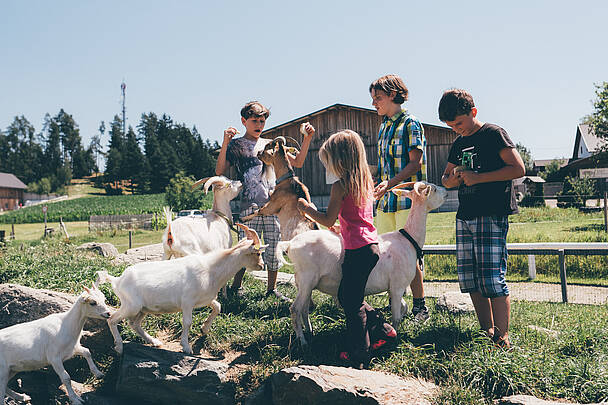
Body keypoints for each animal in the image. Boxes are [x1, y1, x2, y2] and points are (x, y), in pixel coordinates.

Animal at [96, 224, 264, 354]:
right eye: (257, 252)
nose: (262, 266)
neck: (210, 269)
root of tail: (117, 280)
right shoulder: (187, 302)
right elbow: (187, 322)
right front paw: (186, 347)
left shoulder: (205, 299)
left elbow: (218, 306)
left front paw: (204, 329)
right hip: (131, 306)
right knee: (112, 319)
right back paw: (119, 347)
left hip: (142, 309)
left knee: (134, 324)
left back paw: (154, 341)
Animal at [278, 182, 448, 344]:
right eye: (433, 189)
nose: (446, 191)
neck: (408, 239)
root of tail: (290, 244)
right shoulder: (398, 285)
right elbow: (396, 317)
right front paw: (395, 337)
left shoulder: (392, 287)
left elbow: (403, 308)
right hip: (307, 279)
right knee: (295, 309)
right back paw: (302, 341)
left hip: (304, 283)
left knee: (304, 309)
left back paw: (310, 333)